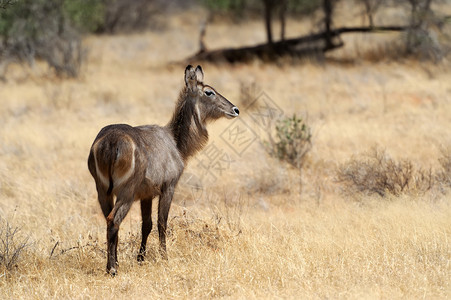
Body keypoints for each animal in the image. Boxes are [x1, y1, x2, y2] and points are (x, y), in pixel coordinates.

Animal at [86, 65, 238, 274]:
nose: (235, 109)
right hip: (126, 192)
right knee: (113, 219)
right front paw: (164, 257)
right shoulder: (168, 187)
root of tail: (111, 142)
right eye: (209, 92)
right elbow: (162, 223)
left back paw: (114, 263)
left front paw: (141, 258)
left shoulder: (146, 194)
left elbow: (147, 224)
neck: (175, 141)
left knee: (108, 219)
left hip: (102, 190)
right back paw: (112, 269)